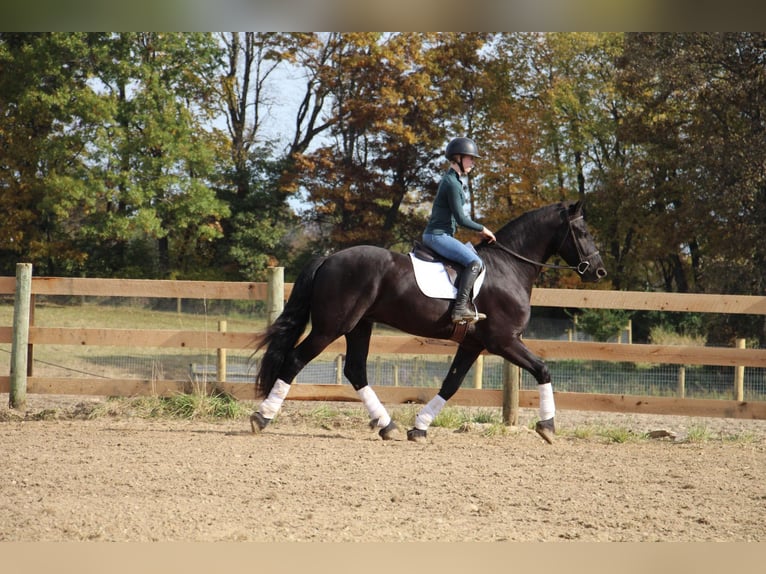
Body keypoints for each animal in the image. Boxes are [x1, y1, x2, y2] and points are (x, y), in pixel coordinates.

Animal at [255, 200, 608, 448]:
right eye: (583, 232)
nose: (599, 271)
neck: (510, 267)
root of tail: (329, 258)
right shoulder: (504, 341)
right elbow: (543, 369)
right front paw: (547, 427)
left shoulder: (473, 344)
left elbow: (451, 385)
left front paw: (419, 427)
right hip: (331, 327)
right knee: (296, 360)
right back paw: (262, 417)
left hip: (359, 326)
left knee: (355, 370)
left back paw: (387, 426)